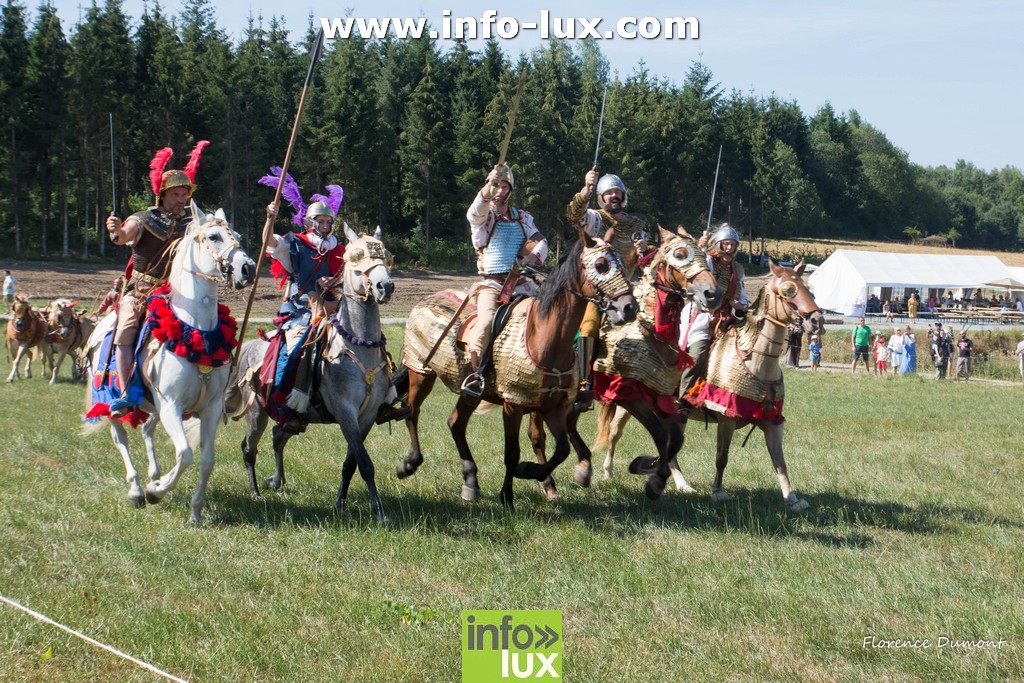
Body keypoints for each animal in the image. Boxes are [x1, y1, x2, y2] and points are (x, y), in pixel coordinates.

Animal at [86, 202, 258, 524]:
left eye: (238, 236)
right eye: (213, 237)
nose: (248, 269)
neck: (196, 332)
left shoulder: (210, 408)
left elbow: (206, 460)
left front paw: (195, 512)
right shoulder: (171, 406)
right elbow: (185, 454)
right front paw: (156, 491)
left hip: (152, 408)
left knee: (146, 430)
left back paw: (153, 474)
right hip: (109, 398)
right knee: (120, 438)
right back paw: (137, 490)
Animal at [230, 225, 397, 524]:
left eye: (386, 256)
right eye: (357, 257)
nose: (384, 287)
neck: (358, 345)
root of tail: (250, 345)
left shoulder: (366, 415)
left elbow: (351, 462)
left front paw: (340, 503)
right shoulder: (345, 411)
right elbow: (365, 463)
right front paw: (379, 513)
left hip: (291, 415)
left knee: (278, 436)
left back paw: (277, 480)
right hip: (256, 412)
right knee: (249, 448)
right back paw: (255, 492)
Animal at [395, 227, 634, 509]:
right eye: (601, 265)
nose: (629, 307)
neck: (544, 338)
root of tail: (425, 301)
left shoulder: (553, 407)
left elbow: (561, 448)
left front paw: (533, 473)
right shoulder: (514, 404)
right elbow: (512, 452)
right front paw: (508, 495)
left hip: (469, 392)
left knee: (455, 423)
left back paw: (470, 481)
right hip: (421, 373)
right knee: (412, 411)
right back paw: (409, 463)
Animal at [610, 260, 827, 507]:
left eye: (808, 290)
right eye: (788, 290)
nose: (816, 321)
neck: (757, 362)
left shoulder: (773, 421)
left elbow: (779, 461)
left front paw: (792, 498)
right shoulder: (726, 418)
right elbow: (722, 457)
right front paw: (718, 492)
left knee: (670, 448)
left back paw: (680, 484)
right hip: (628, 403)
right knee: (614, 432)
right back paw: (608, 473)